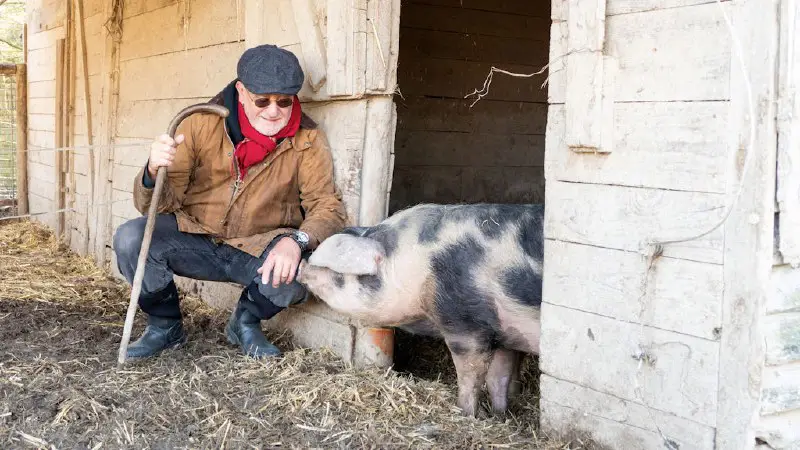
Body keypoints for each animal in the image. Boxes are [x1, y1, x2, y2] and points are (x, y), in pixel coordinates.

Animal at [296, 202, 548, 416]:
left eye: (339, 274)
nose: (301, 266)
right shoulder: (504, 333)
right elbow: (499, 377)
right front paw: (500, 416)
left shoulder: (465, 323)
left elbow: (470, 375)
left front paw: (466, 414)